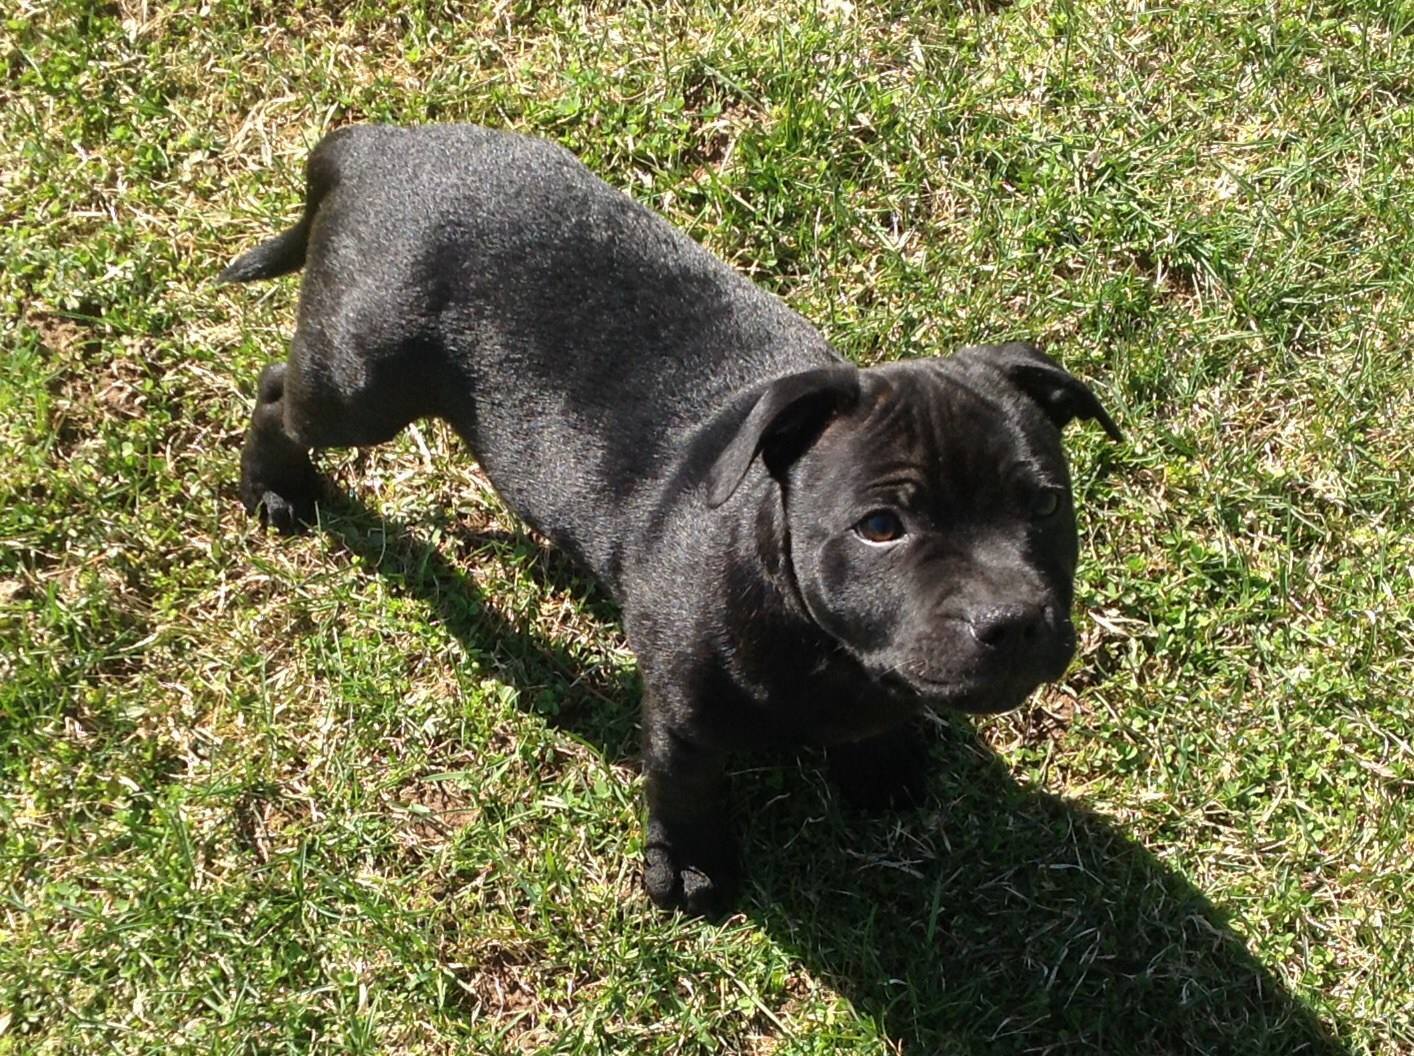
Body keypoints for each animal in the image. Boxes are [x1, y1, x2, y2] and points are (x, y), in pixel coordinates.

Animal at [219, 124, 1120, 916]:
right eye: (879, 527)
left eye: (1045, 503)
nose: (1012, 620)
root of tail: (372, 145)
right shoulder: (684, 713)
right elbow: (685, 787)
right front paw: (688, 867)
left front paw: (879, 757)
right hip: (363, 383)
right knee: (277, 393)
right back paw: (276, 487)